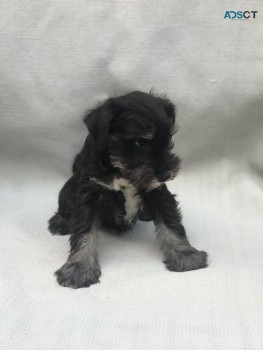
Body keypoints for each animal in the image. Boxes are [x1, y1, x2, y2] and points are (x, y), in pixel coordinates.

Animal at [48, 91, 207, 288]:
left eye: (168, 138)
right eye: (141, 141)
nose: (166, 174)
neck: (120, 168)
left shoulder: (158, 193)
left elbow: (171, 223)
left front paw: (185, 255)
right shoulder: (90, 195)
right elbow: (84, 232)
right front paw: (80, 268)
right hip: (69, 188)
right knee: (65, 204)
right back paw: (60, 221)